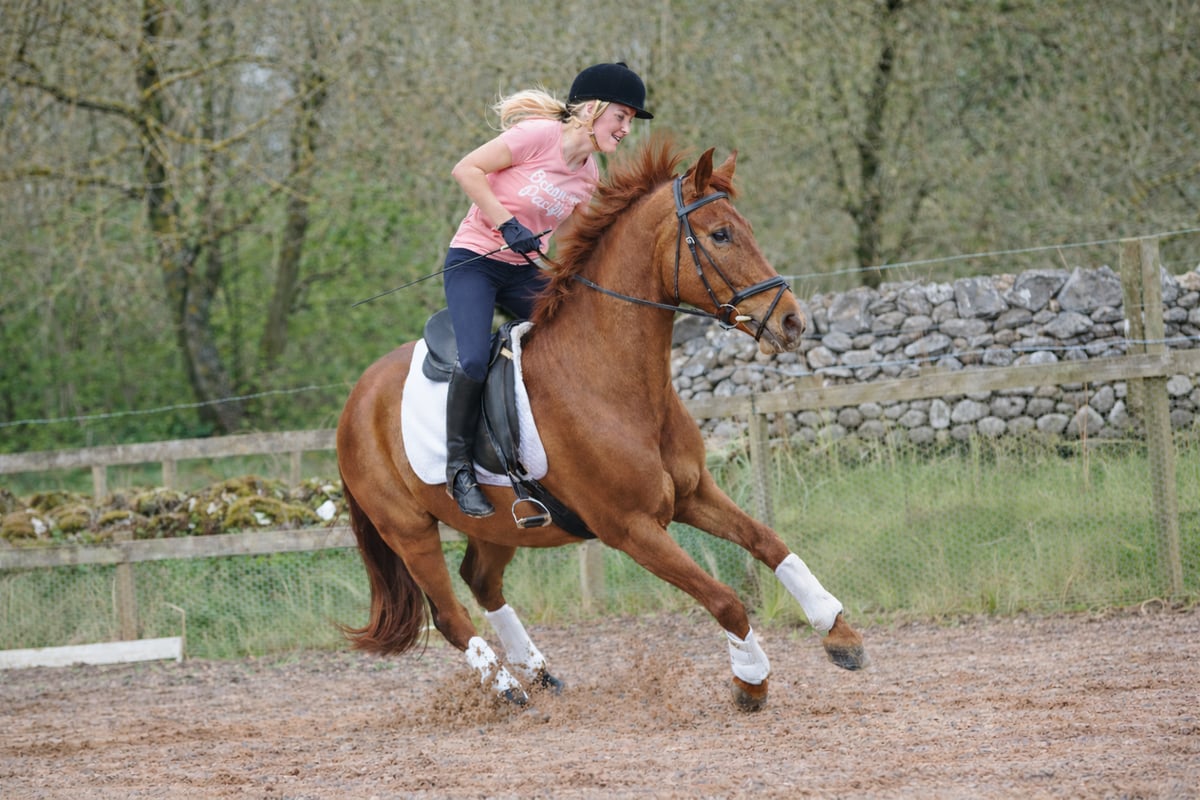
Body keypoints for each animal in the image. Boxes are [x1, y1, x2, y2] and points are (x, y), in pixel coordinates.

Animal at [336, 134, 866, 712]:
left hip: (500, 526)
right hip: (409, 530)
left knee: (481, 583)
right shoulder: (631, 528)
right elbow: (724, 599)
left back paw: (539, 673)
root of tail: (355, 398)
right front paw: (751, 680)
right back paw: (507, 689)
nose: (792, 322)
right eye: (721, 235)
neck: (612, 380)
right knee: (451, 615)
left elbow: (770, 543)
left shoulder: (694, 493)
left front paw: (838, 631)